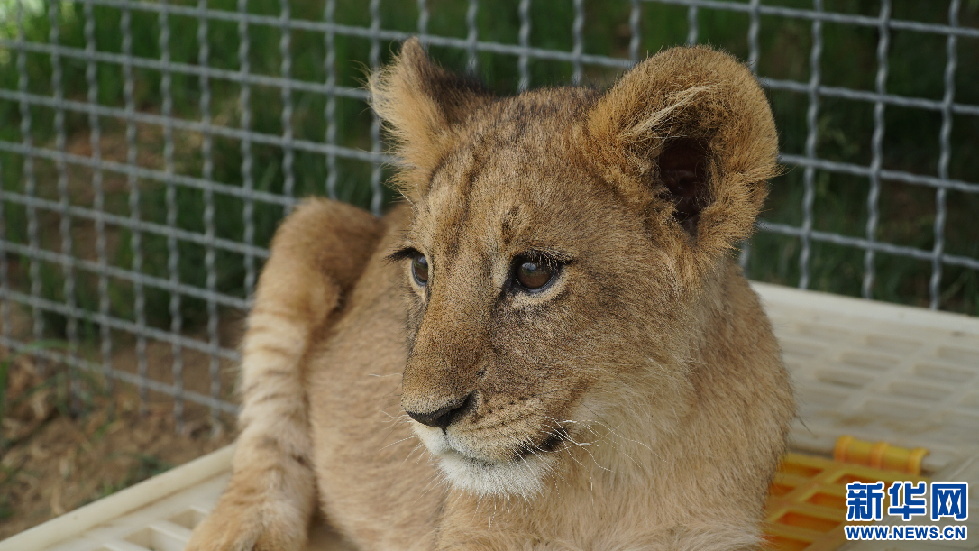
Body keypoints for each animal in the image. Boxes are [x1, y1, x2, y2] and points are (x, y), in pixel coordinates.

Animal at [185, 38, 794, 551]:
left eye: (532, 271)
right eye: (422, 268)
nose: (426, 416)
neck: (616, 467)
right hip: (311, 225)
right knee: (266, 439)